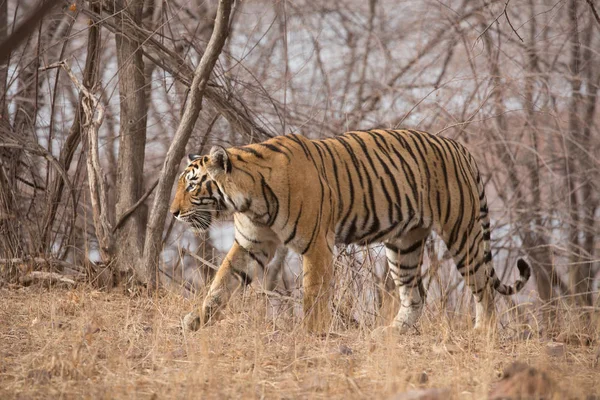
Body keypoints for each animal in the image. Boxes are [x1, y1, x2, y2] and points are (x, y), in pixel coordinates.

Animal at [171, 128, 532, 332]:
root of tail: (461, 148)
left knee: (483, 288)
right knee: (415, 294)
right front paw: (195, 320)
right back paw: (391, 332)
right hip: (404, 246)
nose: (173, 213)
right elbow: (220, 284)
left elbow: (314, 295)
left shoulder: (316, 245)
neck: (249, 200)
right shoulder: (250, 244)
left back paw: (483, 332)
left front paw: (311, 334)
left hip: (462, 232)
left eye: (191, 185)